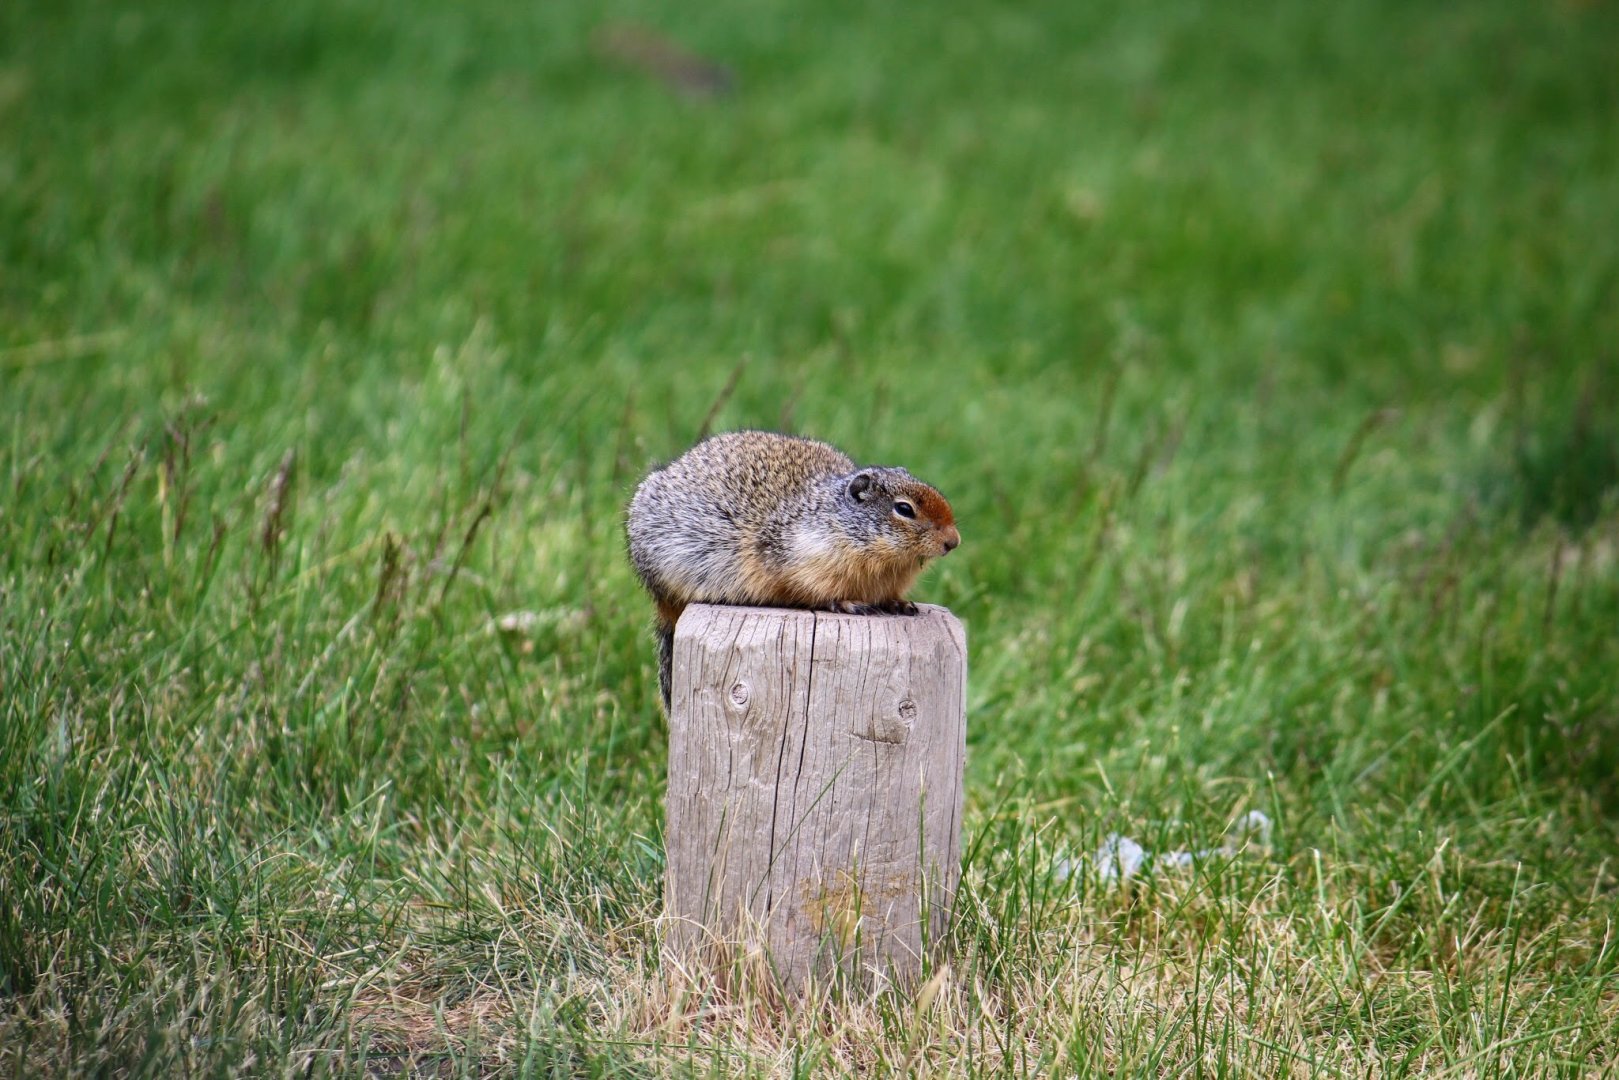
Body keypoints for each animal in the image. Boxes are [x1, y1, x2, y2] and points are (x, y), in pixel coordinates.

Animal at [625, 430, 961, 710]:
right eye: (904, 509)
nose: (954, 541)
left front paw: (900, 604)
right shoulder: (805, 563)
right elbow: (816, 591)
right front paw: (850, 603)